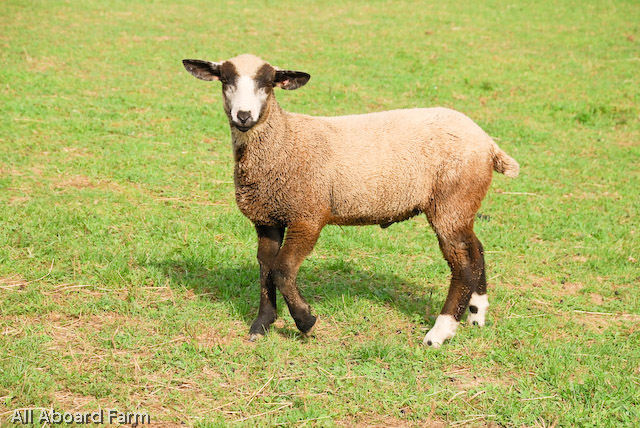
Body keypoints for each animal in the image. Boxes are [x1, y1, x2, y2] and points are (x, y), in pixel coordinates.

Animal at [181, 54, 520, 348]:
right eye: (226, 79)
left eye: (268, 83)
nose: (243, 116)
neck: (285, 140)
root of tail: (488, 143)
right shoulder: (266, 217)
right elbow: (265, 267)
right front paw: (262, 323)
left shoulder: (309, 215)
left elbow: (282, 270)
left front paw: (306, 322)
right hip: (461, 204)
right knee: (476, 250)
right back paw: (476, 314)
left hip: (451, 200)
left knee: (462, 265)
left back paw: (440, 331)